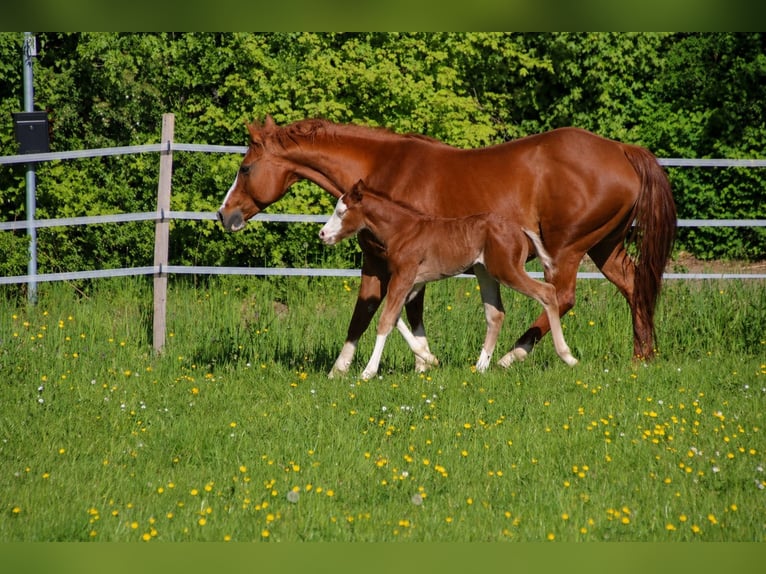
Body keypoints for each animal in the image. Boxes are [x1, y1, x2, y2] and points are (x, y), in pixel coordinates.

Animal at [319, 180, 578, 379]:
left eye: (341, 212)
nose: (322, 234)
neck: (403, 231)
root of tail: (520, 228)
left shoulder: (403, 277)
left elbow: (385, 320)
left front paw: (368, 372)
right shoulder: (411, 284)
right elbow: (395, 317)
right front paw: (429, 359)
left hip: (507, 271)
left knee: (547, 292)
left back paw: (567, 356)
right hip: (485, 272)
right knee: (495, 314)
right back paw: (480, 367)